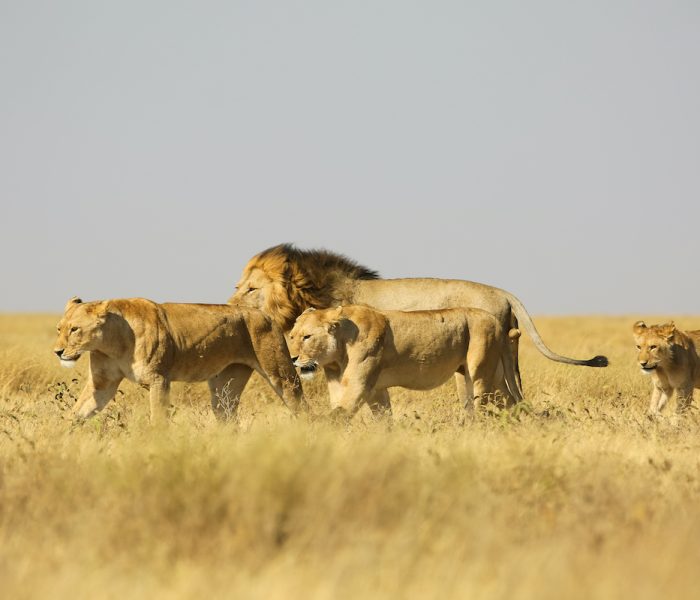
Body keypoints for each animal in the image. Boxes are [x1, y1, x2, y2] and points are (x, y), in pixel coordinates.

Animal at [53, 298, 304, 422]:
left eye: (75, 329)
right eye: (59, 328)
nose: (57, 351)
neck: (112, 343)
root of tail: (264, 313)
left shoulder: (159, 379)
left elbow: (158, 418)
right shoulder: (102, 383)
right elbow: (77, 411)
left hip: (280, 373)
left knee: (300, 404)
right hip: (226, 385)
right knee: (228, 416)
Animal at [228, 244, 608, 408]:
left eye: (251, 289)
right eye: (239, 286)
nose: (229, 307)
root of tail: (503, 293)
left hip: (481, 367)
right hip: (505, 361)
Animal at [288, 304, 524, 422]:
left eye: (307, 337)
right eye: (291, 336)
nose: (292, 358)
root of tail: (495, 321)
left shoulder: (360, 383)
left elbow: (340, 412)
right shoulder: (374, 389)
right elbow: (382, 418)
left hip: (478, 372)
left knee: (480, 405)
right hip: (493, 375)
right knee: (510, 400)